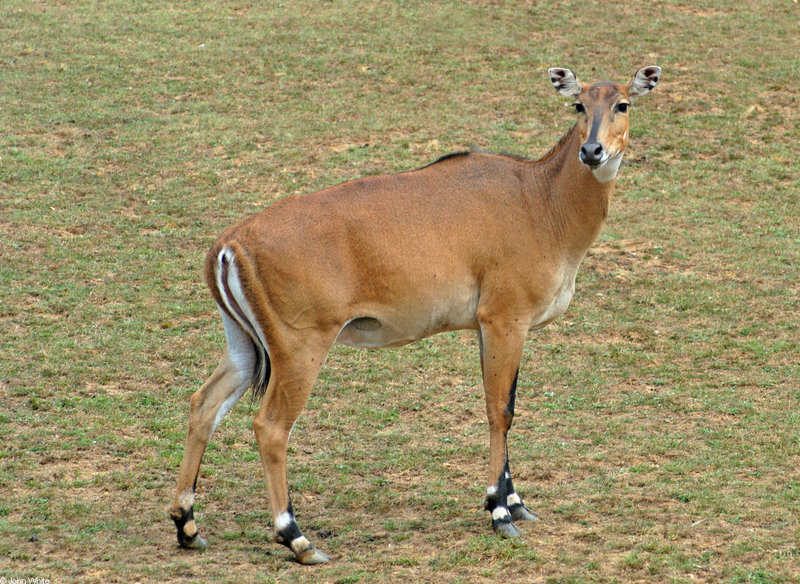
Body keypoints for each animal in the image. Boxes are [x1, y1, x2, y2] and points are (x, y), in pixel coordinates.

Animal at [167, 66, 656, 564]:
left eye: (622, 104)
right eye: (579, 104)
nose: (592, 151)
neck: (539, 199)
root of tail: (230, 243)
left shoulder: (488, 328)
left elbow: (508, 404)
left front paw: (515, 502)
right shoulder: (506, 320)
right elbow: (499, 410)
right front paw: (500, 513)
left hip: (244, 347)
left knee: (204, 405)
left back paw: (187, 525)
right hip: (300, 348)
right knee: (270, 427)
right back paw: (297, 538)